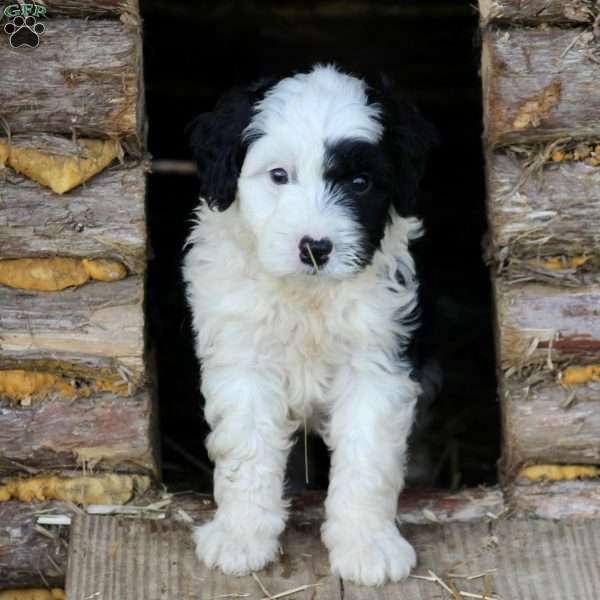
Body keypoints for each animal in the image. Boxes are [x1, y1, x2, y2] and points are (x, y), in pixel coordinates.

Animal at [183, 65, 436, 584]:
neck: (307, 296)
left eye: (360, 182)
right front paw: (240, 537)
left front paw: (367, 545)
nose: (315, 248)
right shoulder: (244, 356)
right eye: (279, 175)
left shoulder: (376, 360)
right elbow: (246, 449)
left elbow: (368, 456)